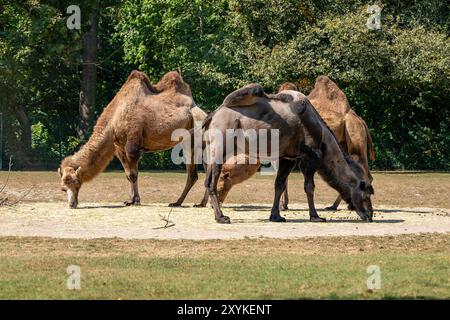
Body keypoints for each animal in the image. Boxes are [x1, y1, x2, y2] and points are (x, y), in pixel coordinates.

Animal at [57, 70, 200, 208]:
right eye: (63, 188)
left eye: (76, 183)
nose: (71, 204)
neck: (114, 120)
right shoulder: (119, 148)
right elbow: (128, 174)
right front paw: (130, 200)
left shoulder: (132, 143)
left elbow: (133, 174)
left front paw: (135, 200)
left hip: (191, 136)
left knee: (192, 172)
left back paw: (179, 202)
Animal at [203, 85, 372, 225]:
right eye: (366, 195)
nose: (370, 215)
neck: (323, 138)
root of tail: (213, 116)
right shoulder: (311, 156)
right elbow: (309, 187)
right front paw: (315, 216)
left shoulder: (288, 157)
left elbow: (279, 184)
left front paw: (276, 216)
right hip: (221, 143)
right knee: (211, 180)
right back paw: (221, 217)